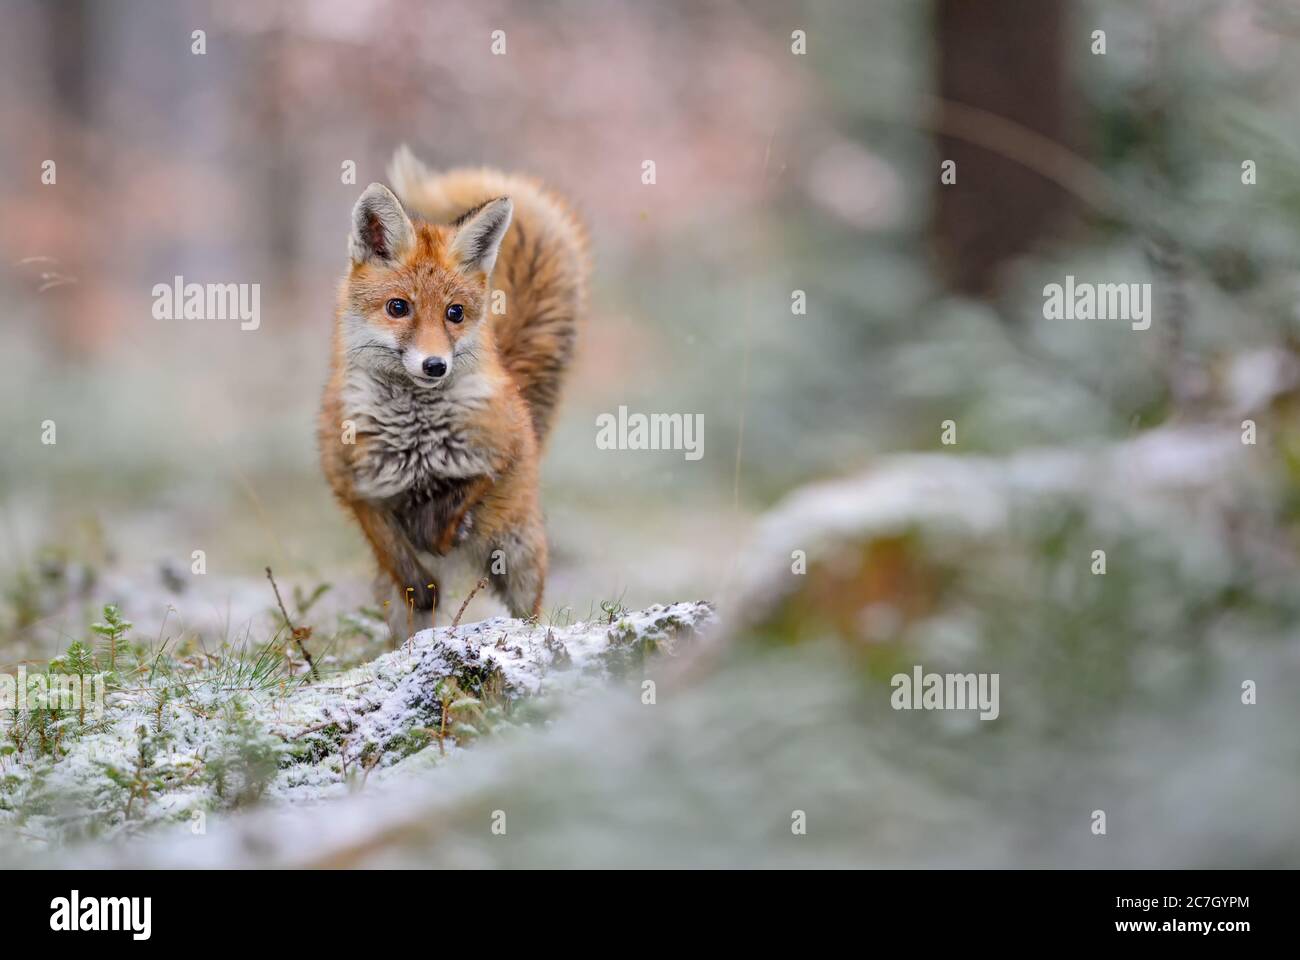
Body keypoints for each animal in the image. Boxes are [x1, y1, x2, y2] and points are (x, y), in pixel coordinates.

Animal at [319, 145, 590, 616]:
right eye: (398, 307)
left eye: (455, 313)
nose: (435, 366)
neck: (415, 433)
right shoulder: (350, 482)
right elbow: (390, 544)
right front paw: (420, 583)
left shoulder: (500, 453)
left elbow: (461, 498)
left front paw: (443, 532)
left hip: (521, 559)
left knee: (530, 613)